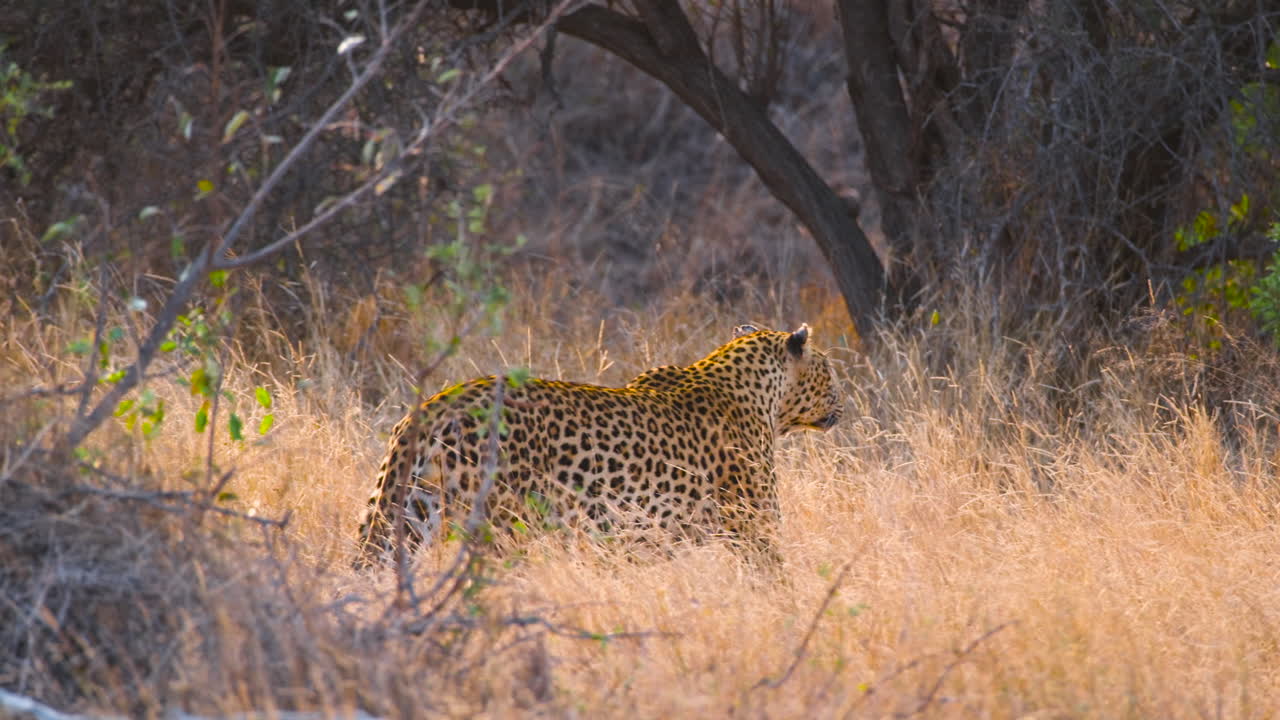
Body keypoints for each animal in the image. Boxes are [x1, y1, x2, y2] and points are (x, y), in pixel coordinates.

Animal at [354, 323, 843, 566]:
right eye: (829, 371)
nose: (843, 401)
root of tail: (434, 404)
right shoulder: (756, 529)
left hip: (405, 513)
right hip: (500, 526)